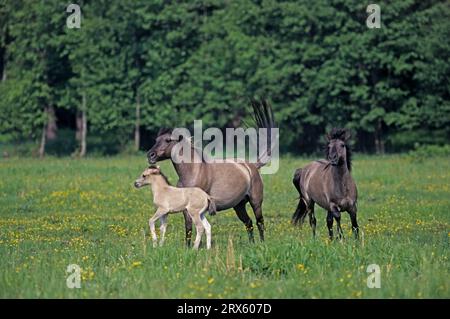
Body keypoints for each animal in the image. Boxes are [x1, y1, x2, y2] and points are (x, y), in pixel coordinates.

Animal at [147, 100, 274, 245]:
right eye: (156, 140)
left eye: (168, 140)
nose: (150, 155)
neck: (193, 173)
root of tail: (253, 166)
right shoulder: (186, 209)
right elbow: (188, 228)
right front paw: (187, 247)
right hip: (239, 205)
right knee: (249, 222)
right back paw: (252, 244)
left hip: (255, 202)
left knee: (260, 222)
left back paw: (262, 244)